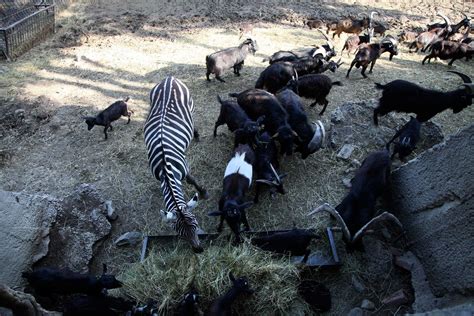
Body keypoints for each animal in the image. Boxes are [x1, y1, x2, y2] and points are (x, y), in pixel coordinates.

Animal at [144, 76, 207, 254]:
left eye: (196, 225)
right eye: (181, 234)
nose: (199, 250)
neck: (166, 169)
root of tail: (169, 78)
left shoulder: (184, 168)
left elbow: (191, 179)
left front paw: (203, 191)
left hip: (190, 105)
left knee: (193, 120)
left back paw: (196, 134)